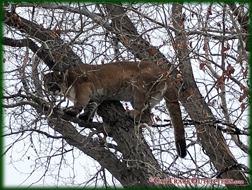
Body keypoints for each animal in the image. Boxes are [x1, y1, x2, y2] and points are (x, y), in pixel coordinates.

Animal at [43, 60, 186, 157]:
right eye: (49, 84)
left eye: (56, 82)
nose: (53, 90)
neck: (67, 83)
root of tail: (164, 73)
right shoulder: (94, 96)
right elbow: (91, 105)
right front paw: (85, 116)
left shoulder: (82, 87)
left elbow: (80, 102)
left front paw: (72, 111)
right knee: (149, 118)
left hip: (139, 87)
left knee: (143, 111)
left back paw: (132, 114)